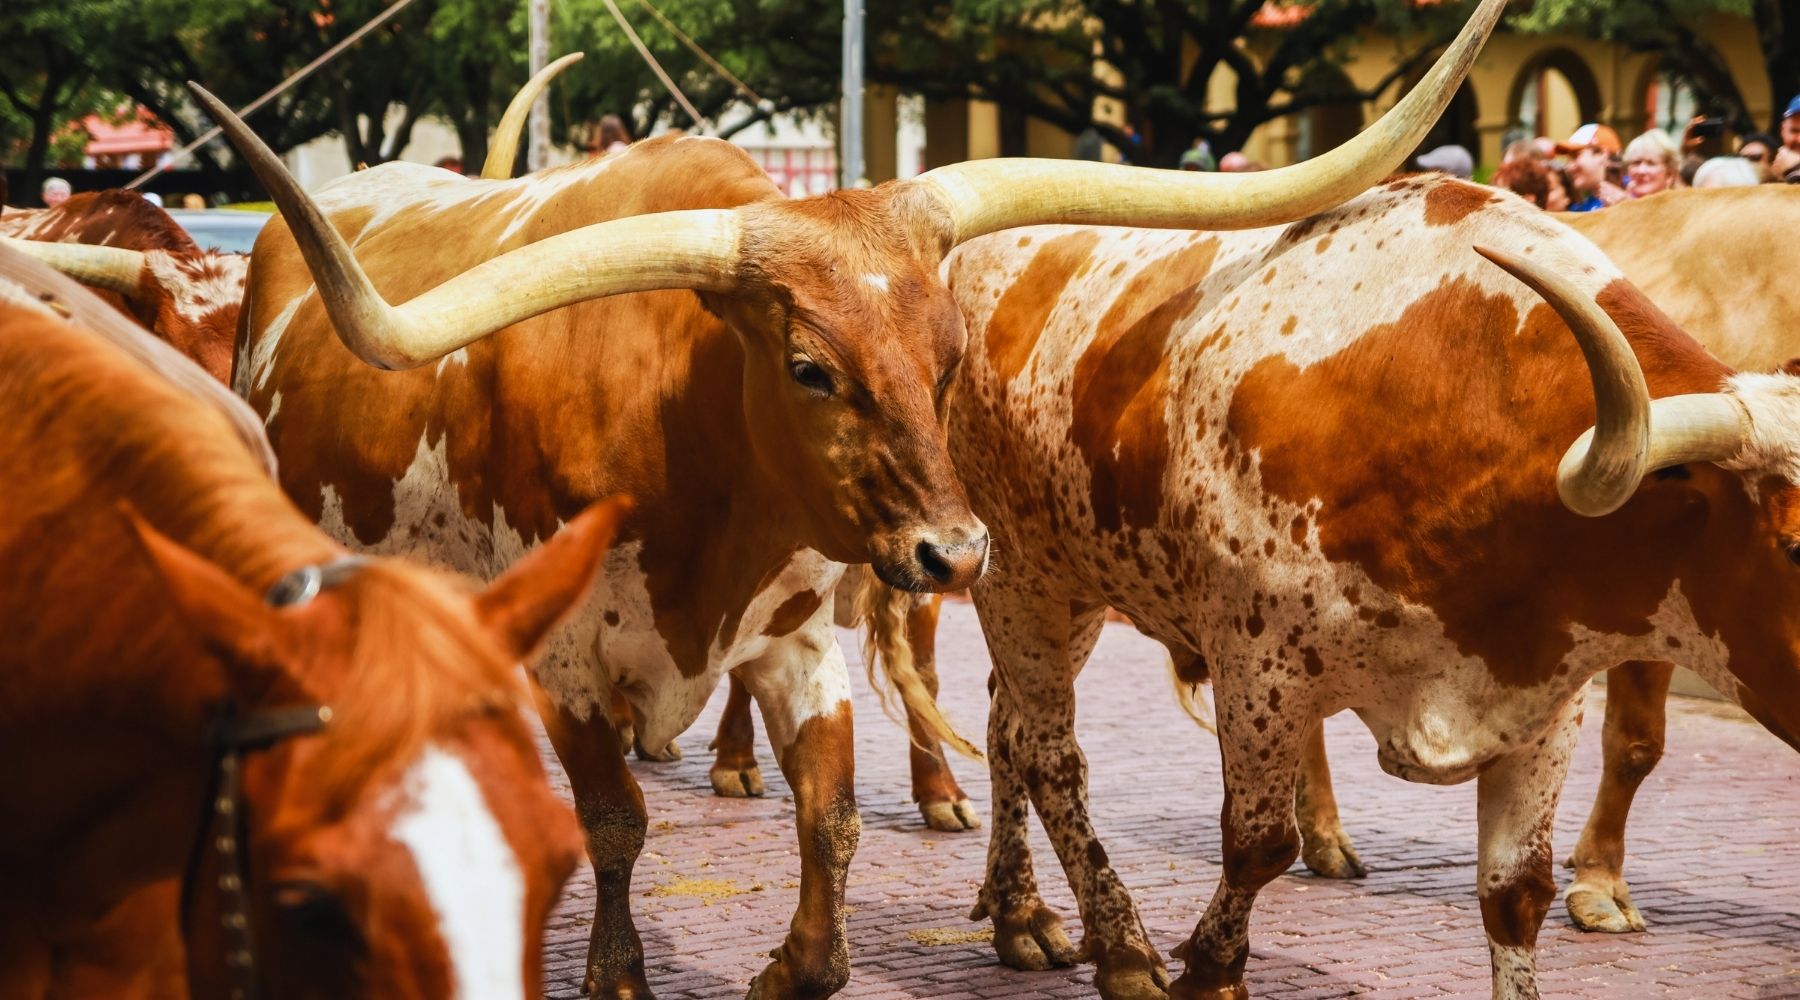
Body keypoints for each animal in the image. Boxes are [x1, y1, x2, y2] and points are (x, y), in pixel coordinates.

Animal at [188, 2, 1504, 994]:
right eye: (810, 368)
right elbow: (614, 820)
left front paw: (788, 965)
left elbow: (832, 822)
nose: (954, 553)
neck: (685, 447)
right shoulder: (569, 664)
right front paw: (615, 971)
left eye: (949, 354)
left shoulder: (797, 639)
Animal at [896, 173, 1800, 1000]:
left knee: (1007, 726)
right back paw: (1119, 949)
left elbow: (1517, 890)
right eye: (1792, 545)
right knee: (1049, 753)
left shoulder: (1547, 696)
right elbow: (1259, 843)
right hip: (1017, 576)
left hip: (1075, 589)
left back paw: (1020, 916)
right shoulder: (1259, 667)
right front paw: (1210, 972)